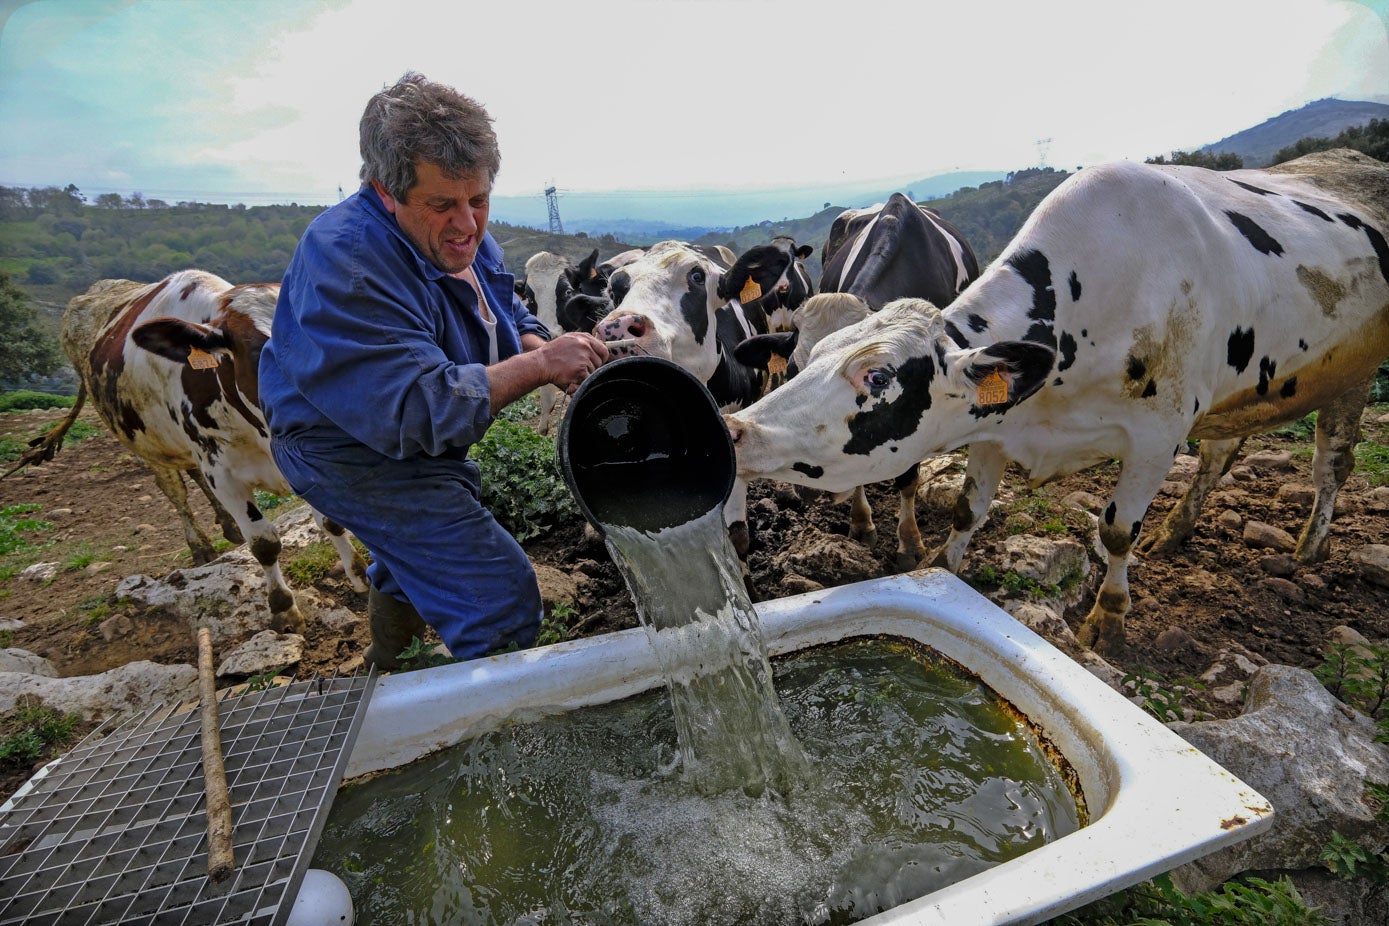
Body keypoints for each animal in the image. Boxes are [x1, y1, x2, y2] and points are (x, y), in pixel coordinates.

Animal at [49, 267, 369, 630]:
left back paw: (226, 526)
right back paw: (200, 545)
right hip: (148, 446)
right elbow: (264, 543)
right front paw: (283, 608)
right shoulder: (222, 472)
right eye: (260, 356)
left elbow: (331, 521)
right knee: (176, 492)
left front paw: (358, 577)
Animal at [727, 150, 1389, 652]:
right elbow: (968, 509)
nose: (736, 431)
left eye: (878, 375)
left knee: (1332, 461)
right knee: (1221, 454)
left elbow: (1116, 531)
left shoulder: (1156, 437)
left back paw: (1309, 546)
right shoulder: (995, 424)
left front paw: (1110, 614)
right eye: (805, 360)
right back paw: (1176, 531)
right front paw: (941, 566)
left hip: (1354, 371)